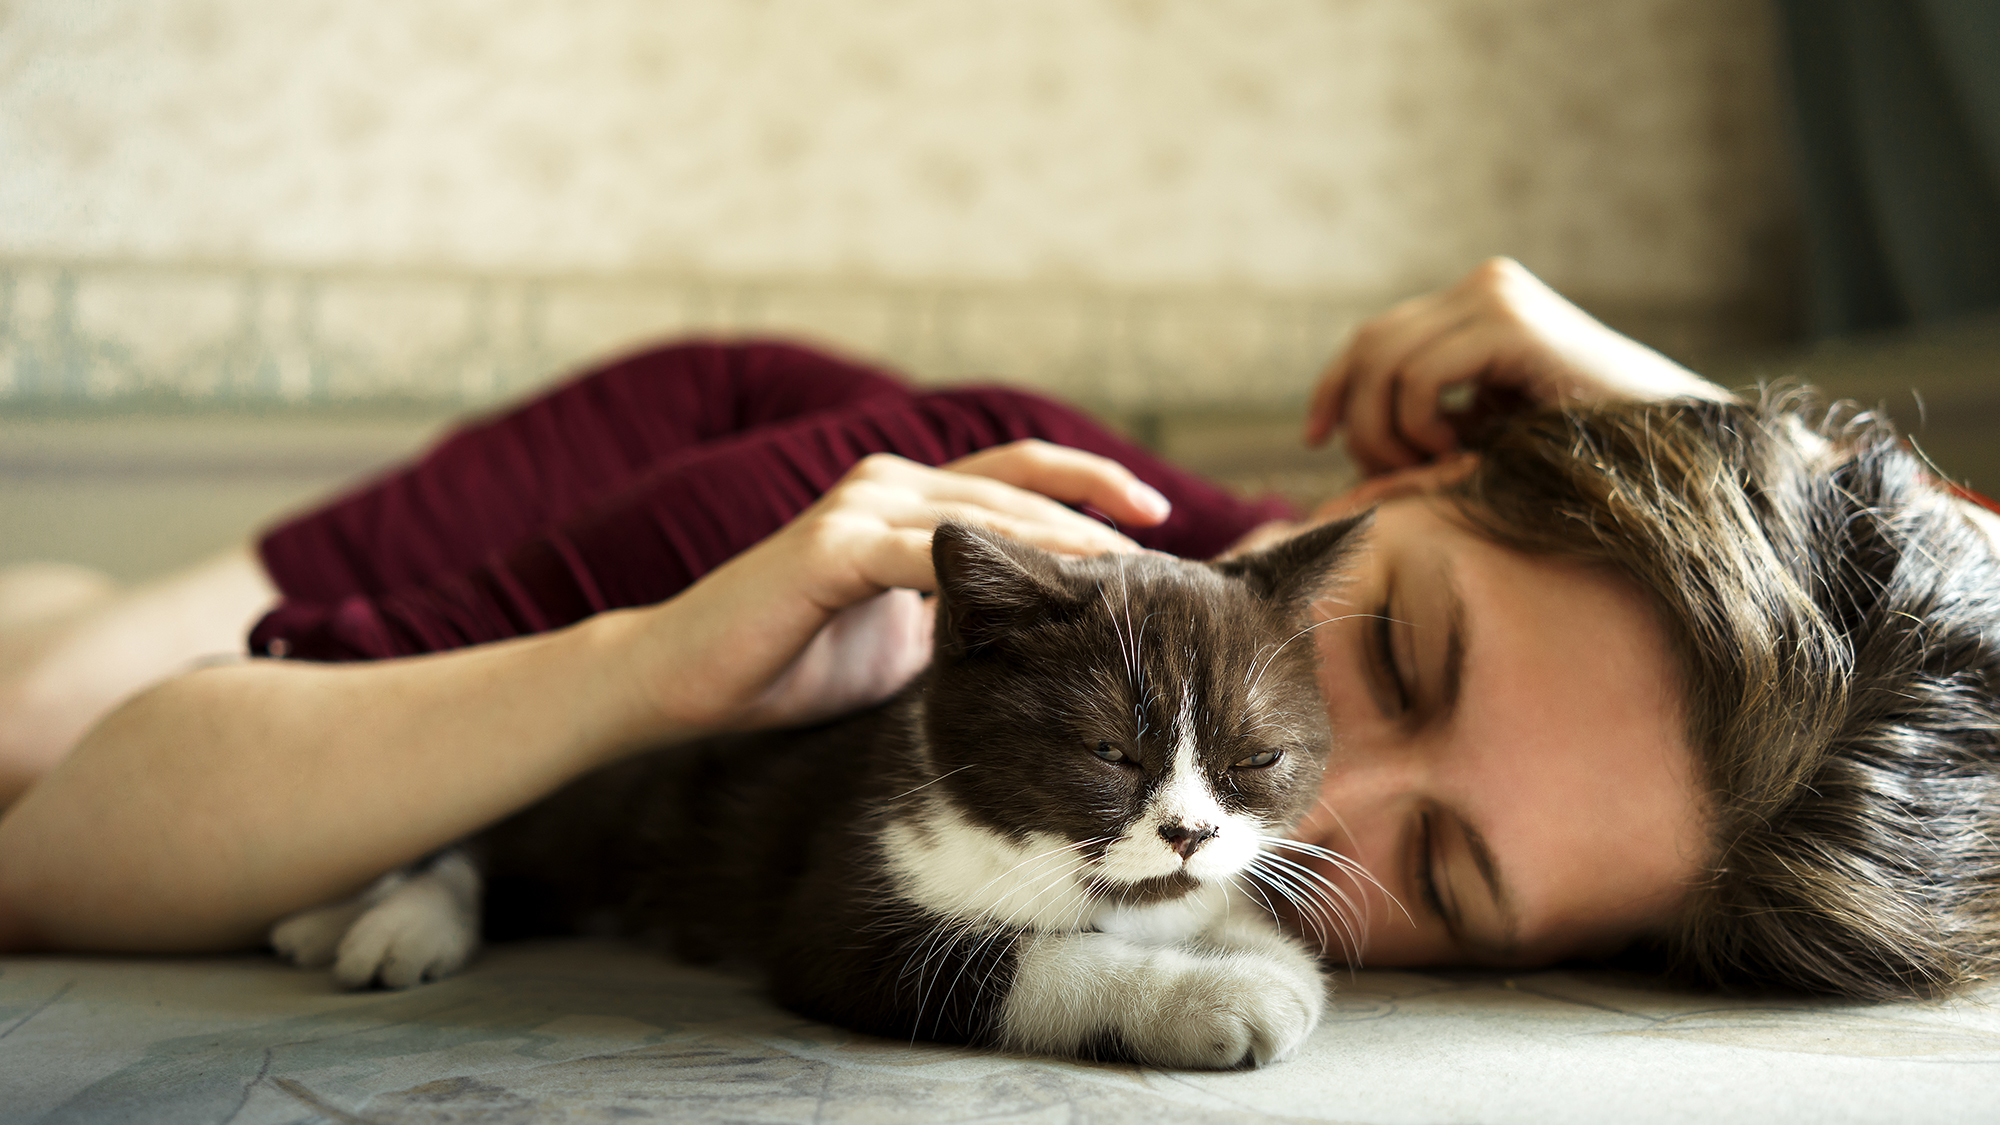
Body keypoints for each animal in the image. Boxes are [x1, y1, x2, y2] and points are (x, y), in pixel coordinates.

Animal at [274, 512, 1368, 1064]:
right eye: (1110, 752)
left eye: (1257, 759)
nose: (1189, 832)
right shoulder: (845, 893)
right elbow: (1012, 962)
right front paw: (1223, 996)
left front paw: (1255, 949)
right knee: (483, 846)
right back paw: (382, 925)